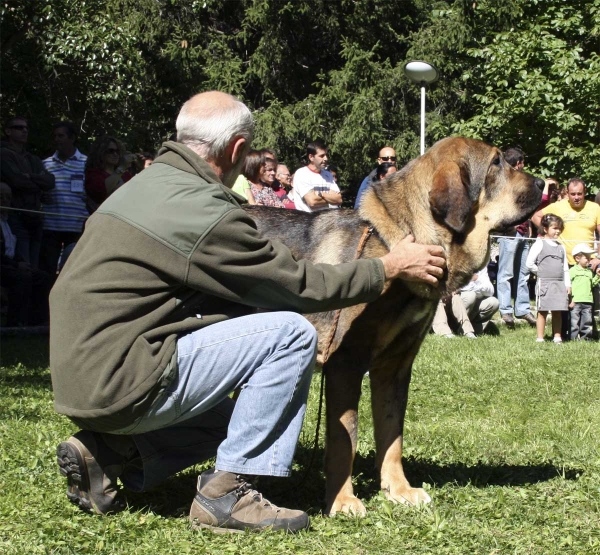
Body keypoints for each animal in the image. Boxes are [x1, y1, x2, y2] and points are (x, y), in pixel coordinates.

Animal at [243, 138, 544, 516]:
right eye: (496, 163)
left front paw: (399, 490)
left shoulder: (395, 368)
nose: (544, 184)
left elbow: (392, 435)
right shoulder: (345, 365)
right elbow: (345, 438)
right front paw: (343, 501)